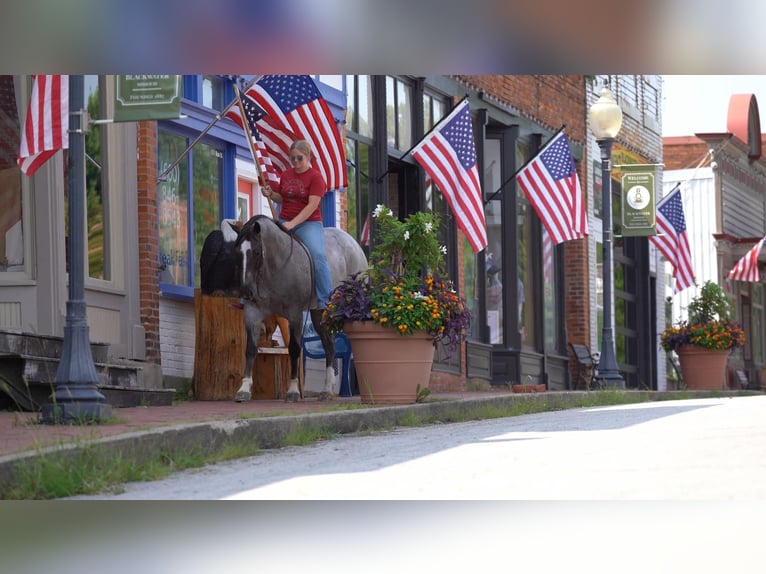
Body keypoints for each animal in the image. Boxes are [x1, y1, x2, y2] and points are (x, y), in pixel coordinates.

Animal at [231, 214, 368, 402]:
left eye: (257, 252)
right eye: (237, 252)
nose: (246, 292)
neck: (275, 267)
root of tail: (353, 243)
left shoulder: (294, 313)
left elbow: (294, 349)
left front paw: (293, 391)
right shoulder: (253, 311)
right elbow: (250, 348)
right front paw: (244, 389)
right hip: (318, 312)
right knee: (329, 344)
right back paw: (327, 389)